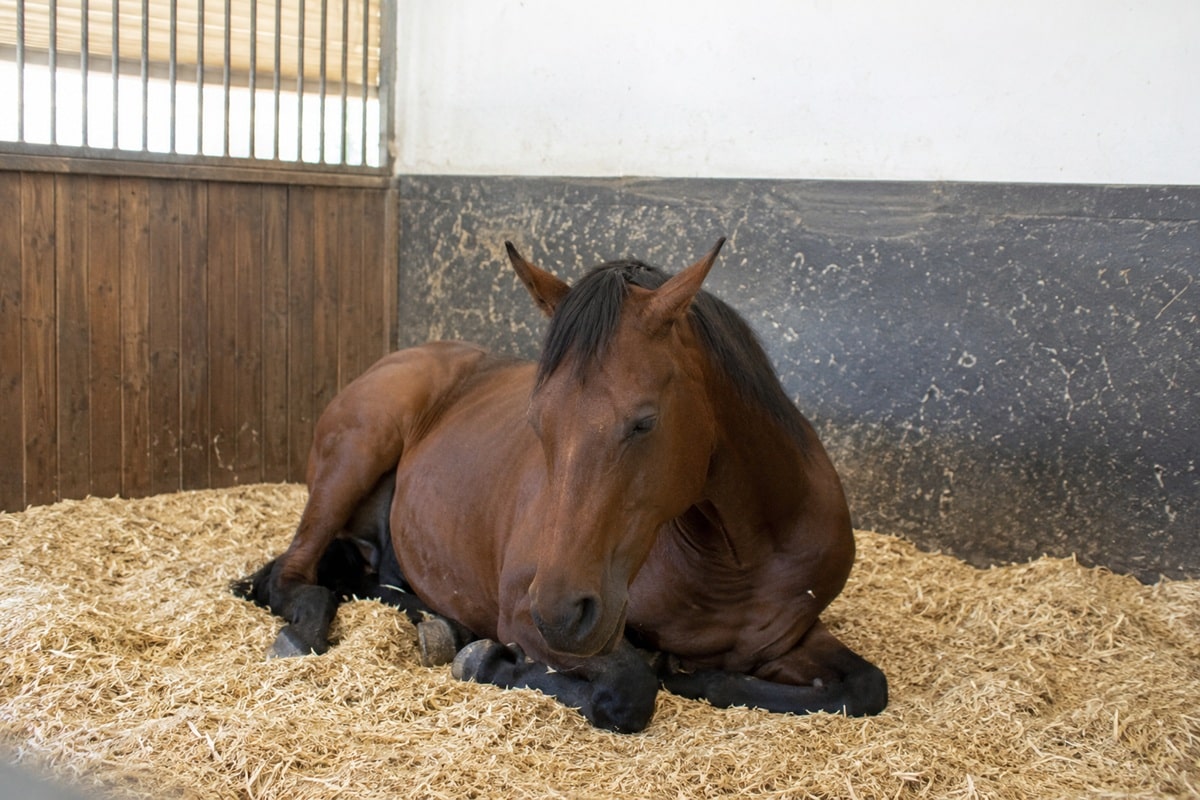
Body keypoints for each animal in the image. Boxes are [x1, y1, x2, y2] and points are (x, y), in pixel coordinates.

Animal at [234, 238, 887, 732]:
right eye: (537, 419)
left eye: (644, 422)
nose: (560, 614)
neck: (736, 558)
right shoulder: (528, 615)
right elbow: (627, 688)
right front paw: (487, 661)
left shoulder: (793, 637)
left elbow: (863, 687)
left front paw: (700, 674)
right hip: (357, 452)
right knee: (289, 575)